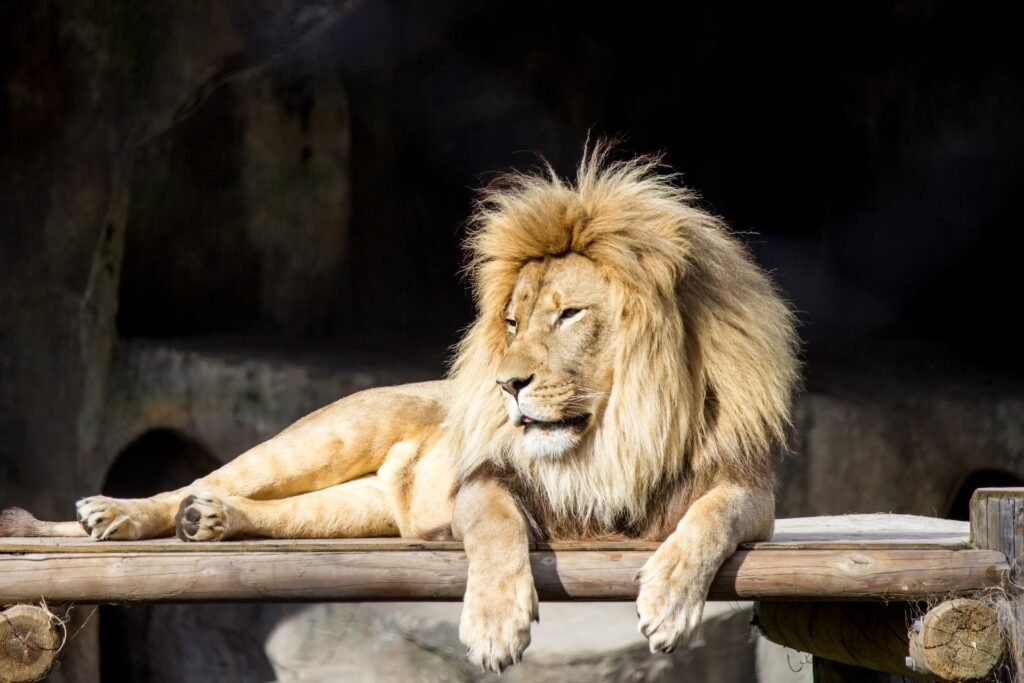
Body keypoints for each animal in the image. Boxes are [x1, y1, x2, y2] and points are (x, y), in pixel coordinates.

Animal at [2, 144, 798, 671]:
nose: (507, 384)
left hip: (357, 509)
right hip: (324, 434)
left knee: (273, 510)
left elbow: (707, 520)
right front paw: (494, 625)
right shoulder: (483, 481)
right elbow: (498, 530)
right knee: (208, 477)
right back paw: (116, 514)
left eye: (569, 314)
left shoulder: (750, 493)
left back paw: (213, 521)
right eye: (513, 321)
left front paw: (668, 599)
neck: (613, 436)